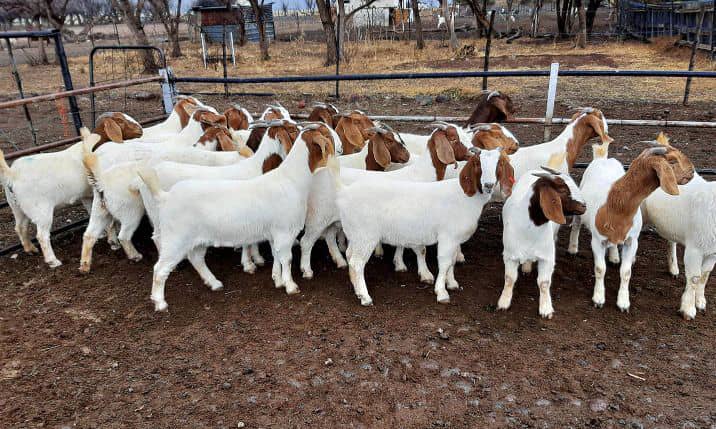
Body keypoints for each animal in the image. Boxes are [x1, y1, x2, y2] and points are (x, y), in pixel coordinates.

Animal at [137, 124, 335, 311]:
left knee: (196, 259)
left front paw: (277, 279)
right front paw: (290, 286)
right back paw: (160, 303)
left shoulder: (274, 233)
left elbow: (276, 256)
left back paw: (214, 283)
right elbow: (286, 259)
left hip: (196, 240)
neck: (290, 180)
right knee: (160, 269)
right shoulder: (284, 231)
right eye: (292, 129)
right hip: (176, 238)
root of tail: (165, 196)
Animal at [497, 156, 587, 319]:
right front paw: (503, 302)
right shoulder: (510, 255)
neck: (530, 228)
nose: (584, 206)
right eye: (563, 189)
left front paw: (546, 309)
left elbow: (544, 283)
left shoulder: (547, 257)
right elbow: (509, 279)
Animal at [567, 143, 694, 312]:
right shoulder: (597, 240)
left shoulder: (632, 241)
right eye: (672, 161)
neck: (615, 205)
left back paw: (614, 256)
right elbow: (600, 269)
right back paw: (573, 249)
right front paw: (598, 299)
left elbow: (626, 272)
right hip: (580, 204)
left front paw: (623, 303)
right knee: (576, 224)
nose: (692, 171)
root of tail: (603, 158)